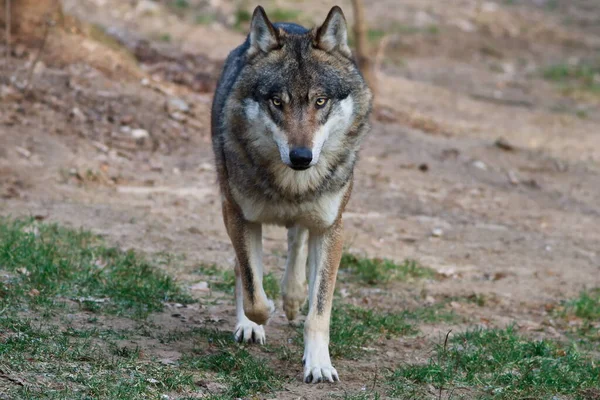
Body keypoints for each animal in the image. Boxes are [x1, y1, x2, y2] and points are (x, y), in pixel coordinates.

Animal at [210, 3, 370, 384]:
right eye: (276, 102)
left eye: (320, 101)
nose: (301, 157)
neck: (291, 185)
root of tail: (287, 23)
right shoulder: (238, 215)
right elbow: (252, 288)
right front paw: (257, 316)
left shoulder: (332, 228)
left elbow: (320, 310)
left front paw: (319, 364)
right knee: (244, 267)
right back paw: (253, 321)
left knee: (296, 240)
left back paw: (294, 296)